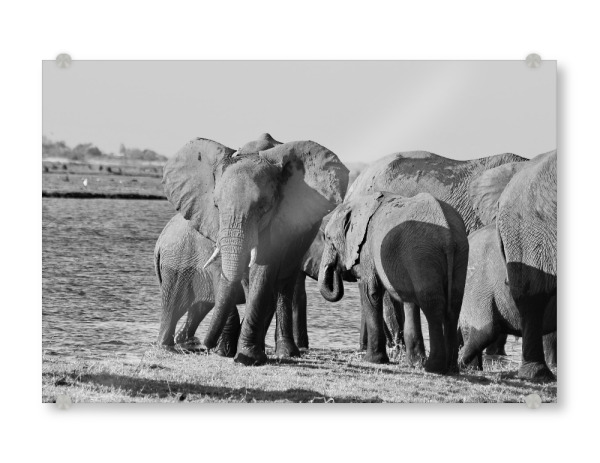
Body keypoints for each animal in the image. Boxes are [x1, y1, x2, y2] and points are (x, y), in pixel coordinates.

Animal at [161, 133, 349, 366]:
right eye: (216, 206)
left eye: (262, 207)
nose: (206, 346)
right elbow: (246, 276)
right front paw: (238, 353)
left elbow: (263, 271)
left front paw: (247, 357)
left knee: (285, 283)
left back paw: (286, 353)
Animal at [318, 192, 469, 373]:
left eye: (327, 238)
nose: (335, 268)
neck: (360, 204)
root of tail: (449, 237)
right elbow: (409, 301)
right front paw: (413, 363)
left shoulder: (368, 248)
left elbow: (371, 291)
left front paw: (373, 360)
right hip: (460, 253)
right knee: (454, 304)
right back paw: (451, 368)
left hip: (423, 255)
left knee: (432, 305)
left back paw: (433, 368)